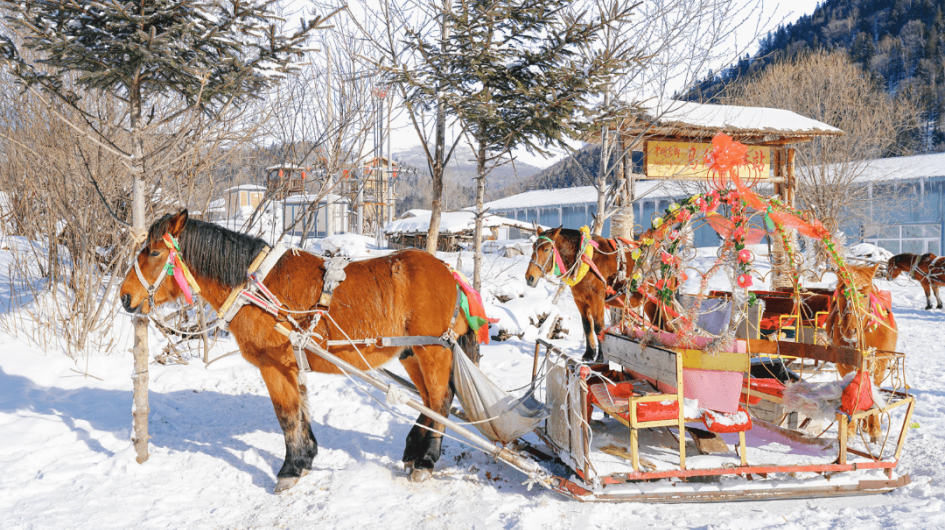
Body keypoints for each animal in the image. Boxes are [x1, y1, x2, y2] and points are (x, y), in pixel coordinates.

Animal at [119, 211, 478, 492]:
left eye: (153, 252)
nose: (125, 296)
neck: (255, 289)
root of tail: (449, 272)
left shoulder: (274, 365)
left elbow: (287, 416)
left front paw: (290, 469)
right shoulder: (293, 365)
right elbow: (302, 412)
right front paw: (306, 458)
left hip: (431, 351)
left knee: (440, 400)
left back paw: (426, 461)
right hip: (411, 354)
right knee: (431, 400)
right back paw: (413, 452)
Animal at [524, 227, 643, 362]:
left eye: (546, 249)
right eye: (533, 247)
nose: (529, 277)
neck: (586, 260)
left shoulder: (597, 299)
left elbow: (598, 327)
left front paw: (601, 356)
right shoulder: (580, 300)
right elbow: (587, 326)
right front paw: (589, 353)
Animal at [824, 263, 897, 442]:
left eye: (864, 295)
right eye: (841, 294)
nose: (850, 330)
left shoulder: (879, 363)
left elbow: (872, 391)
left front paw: (874, 429)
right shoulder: (845, 364)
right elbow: (853, 391)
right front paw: (850, 429)